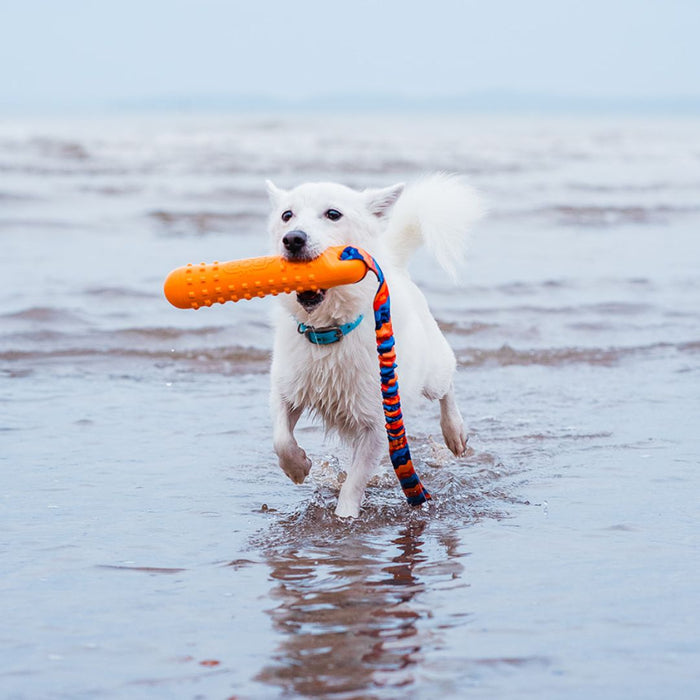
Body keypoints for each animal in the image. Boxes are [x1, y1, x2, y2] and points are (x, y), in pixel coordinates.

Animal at [264, 172, 482, 516]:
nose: (293, 239)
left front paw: (344, 518)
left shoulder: (378, 424)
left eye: (333, 214)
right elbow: (281, 439)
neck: (329, 331)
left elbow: (354, 482)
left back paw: (455, 432)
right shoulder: (287, 389)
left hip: (431, 371)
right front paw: (297, 467)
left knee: (446, 385)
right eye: (287, 215)